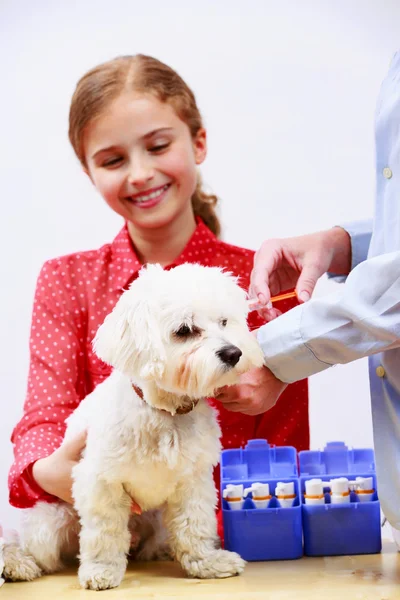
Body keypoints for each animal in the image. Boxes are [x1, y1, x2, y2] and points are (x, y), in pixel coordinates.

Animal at [9, 264, 264, 588]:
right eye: (184, 330)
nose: (233, 353)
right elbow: (105, 533)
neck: (165, 411)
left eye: (224, 322)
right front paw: (101, 569)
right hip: (49, 524)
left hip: (157, 520)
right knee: (31, 549)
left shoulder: (193, 481)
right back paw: (18, 564)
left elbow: (195, 524)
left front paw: (206, 562)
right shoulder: (101, 483)